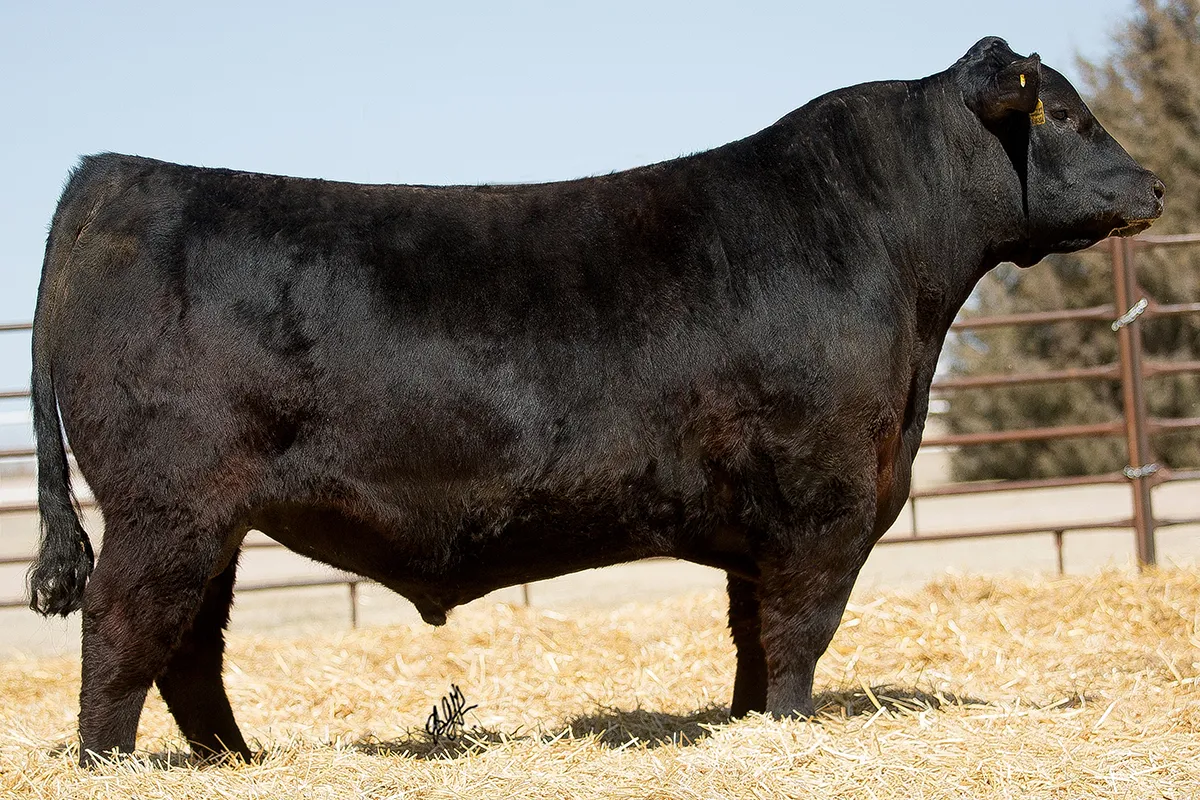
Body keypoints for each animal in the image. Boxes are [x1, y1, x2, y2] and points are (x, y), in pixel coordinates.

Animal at [28, 36, 1162, 765]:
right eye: (1064, 113)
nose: (1153, 185)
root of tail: (112, 175)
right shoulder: (824, 499)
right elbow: (800, 633)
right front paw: (792, 731)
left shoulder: (761, 518)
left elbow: (752, 638)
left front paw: (746, 725)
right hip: (167, 507)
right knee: (123, 628)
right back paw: (108, 764)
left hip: (211, 520)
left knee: (189, 648)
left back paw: (237, 759)